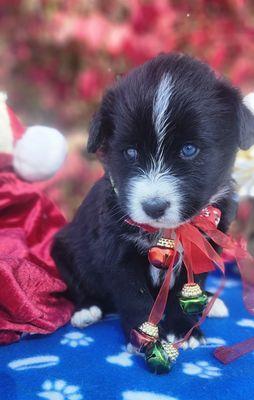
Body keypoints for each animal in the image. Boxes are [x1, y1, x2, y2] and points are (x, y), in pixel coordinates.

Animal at [51, 54, 254, 350]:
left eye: (189, 150)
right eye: (130, 153)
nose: (154, 207)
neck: (167, 231)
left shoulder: (202, 246)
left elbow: (184, 290)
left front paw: (182, 330)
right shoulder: (117, 252)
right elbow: (134, 297)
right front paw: (144, 337)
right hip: (62, 249)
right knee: (78, 287)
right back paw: (86, 310)